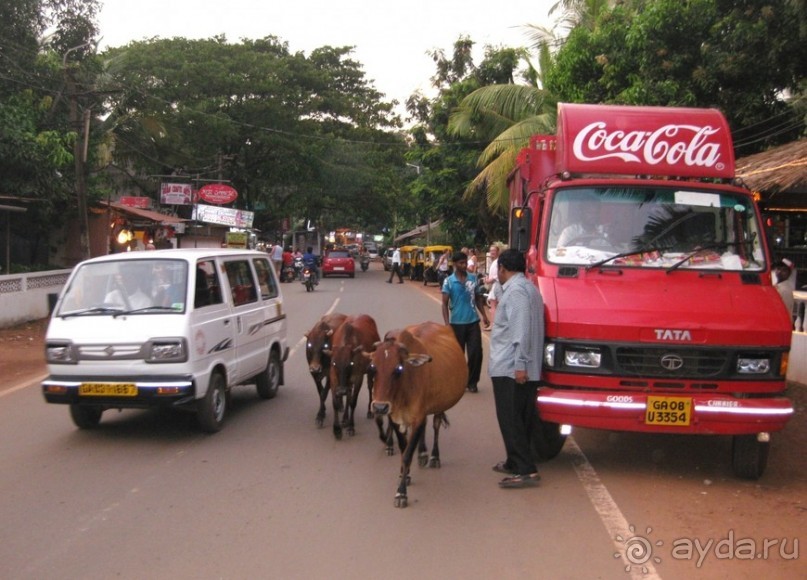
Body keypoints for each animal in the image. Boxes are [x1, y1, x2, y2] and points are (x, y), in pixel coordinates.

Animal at [366, 322, 468, 508]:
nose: (380, 407)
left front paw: (401, 493)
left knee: (435, 425)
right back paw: (422, 453)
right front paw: (404, 475)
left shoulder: (418, 416)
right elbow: (403, 448)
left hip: (439, 404)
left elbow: (407, 455)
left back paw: (433, 456)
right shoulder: (395, 417)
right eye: (372, 367)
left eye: (398, 368)